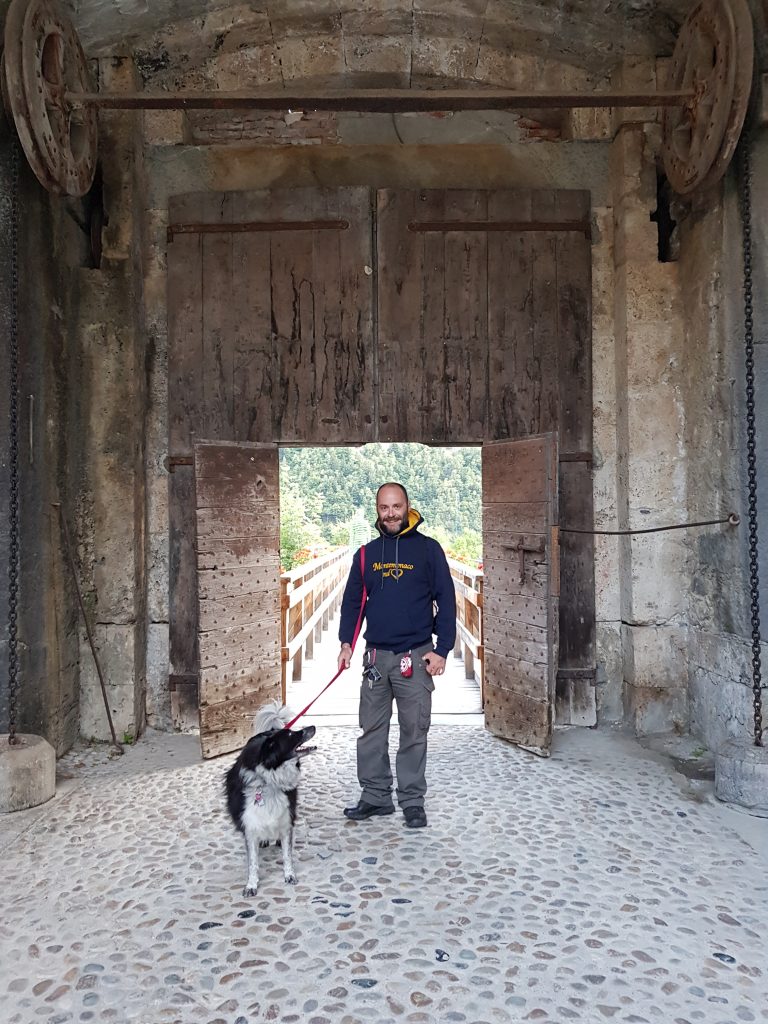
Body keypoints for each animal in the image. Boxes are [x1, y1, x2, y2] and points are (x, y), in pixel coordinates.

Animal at [224, 704, 317, 897]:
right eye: (291, 735)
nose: (313, 726)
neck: (269, 780)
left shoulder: (286, 817)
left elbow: (287, 854)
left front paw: (289, 875)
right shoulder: (250, 824)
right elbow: (253, 862)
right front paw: (251, 885)